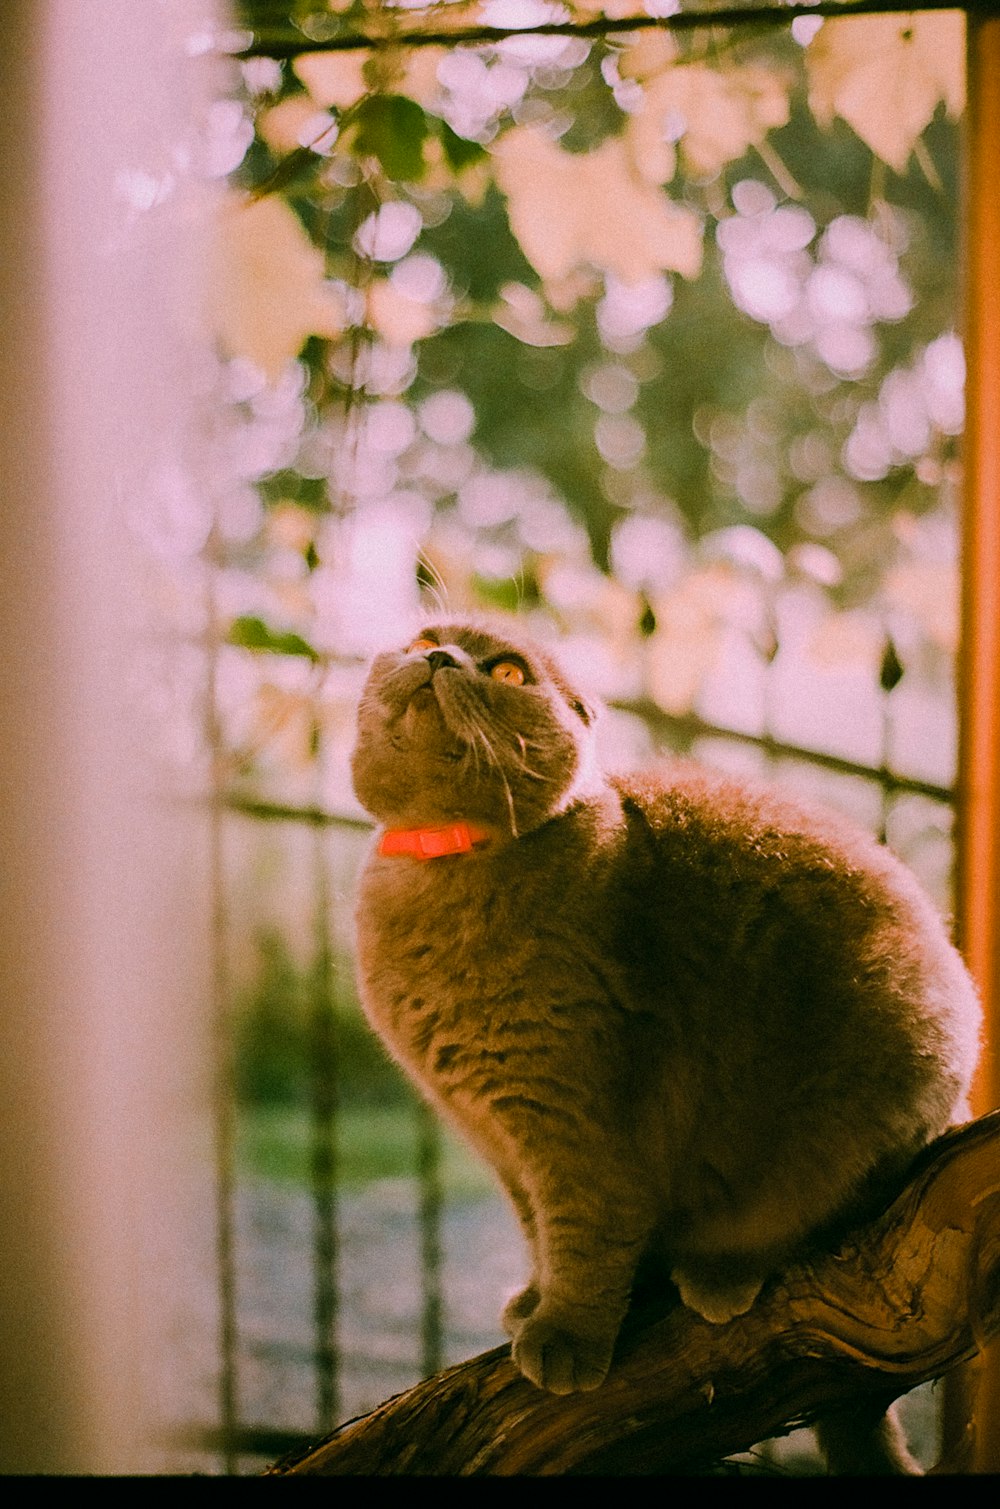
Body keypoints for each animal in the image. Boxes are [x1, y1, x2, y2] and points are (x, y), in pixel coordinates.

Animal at [348, 615, 983, 1472]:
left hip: (873, 1088)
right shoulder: (499, 1138)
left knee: (808, 1216)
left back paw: (718, 1271)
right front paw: (536, 1298)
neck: (437, 871)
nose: (441, 658)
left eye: (509, 672)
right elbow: (539, 1230)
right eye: (422, 638)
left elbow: (585, 1228)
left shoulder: (573, 1118)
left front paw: (566, 1335)